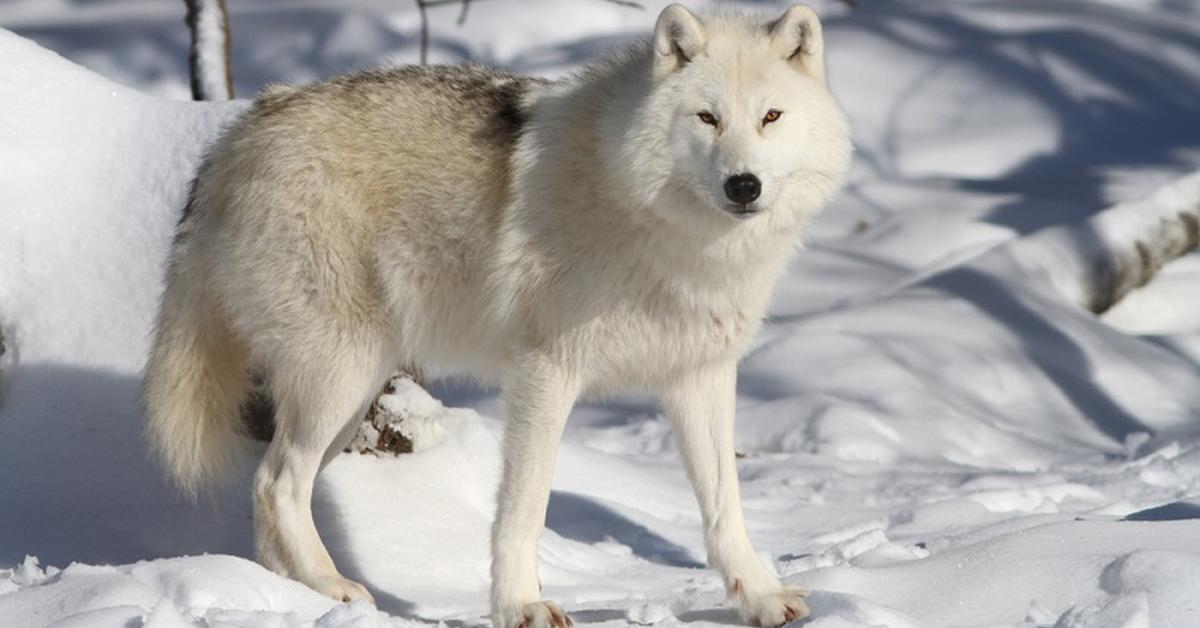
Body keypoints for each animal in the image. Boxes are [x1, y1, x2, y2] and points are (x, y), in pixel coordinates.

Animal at [140, 3, 854, 624]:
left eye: (771, 117)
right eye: (707, 118)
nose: (744, 185)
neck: (658, 225)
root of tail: (240, 130)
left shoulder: (700, 375)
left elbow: (725, 508)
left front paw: (760, 598)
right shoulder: (545, 374)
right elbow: (523, 508)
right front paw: (521, 607)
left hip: (351, 395)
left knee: (272, 491)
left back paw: (293, 597)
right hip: (340, 377)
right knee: (276, 482)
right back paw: (334, 587)